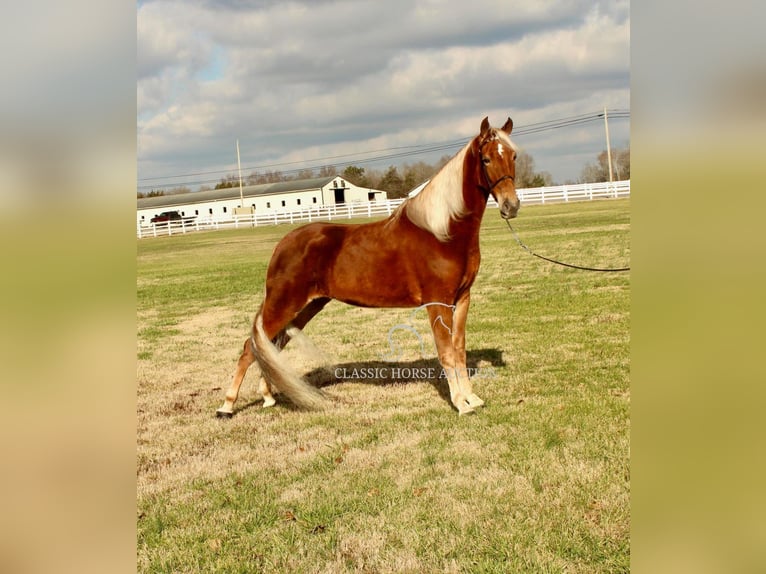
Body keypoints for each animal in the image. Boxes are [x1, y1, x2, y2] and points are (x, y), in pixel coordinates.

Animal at [219, 117, 524, 416]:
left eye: (513, 156)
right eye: (486, 159)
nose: (511, 206)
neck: (443, 232)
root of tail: (283, 244)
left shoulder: (462, 299)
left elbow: (459, 349)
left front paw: (472, 398)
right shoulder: (438, 303)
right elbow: (446, 352)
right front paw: (460, 404)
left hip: (306, 306)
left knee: (272, 346)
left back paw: (268, 396)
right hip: (282, 305)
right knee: (250, 347)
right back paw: (227, 405)